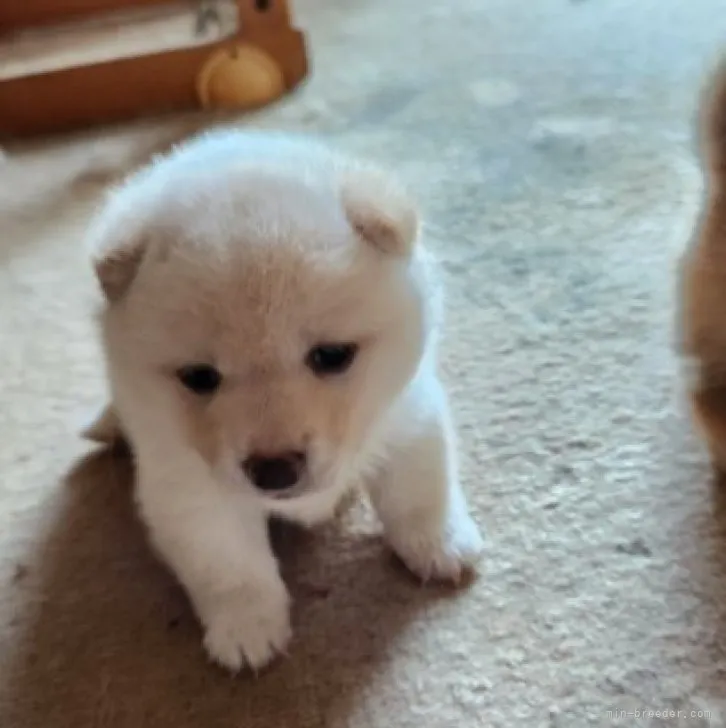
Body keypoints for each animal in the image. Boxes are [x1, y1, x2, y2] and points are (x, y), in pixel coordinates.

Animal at [82, 129, 486, 672]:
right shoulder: (186, 482)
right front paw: (247, 628)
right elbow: (228, 561)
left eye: (332, 356)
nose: (274, 472)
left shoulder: (406, 413)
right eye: (199, 377)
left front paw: (439, 545)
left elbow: (419, 490)